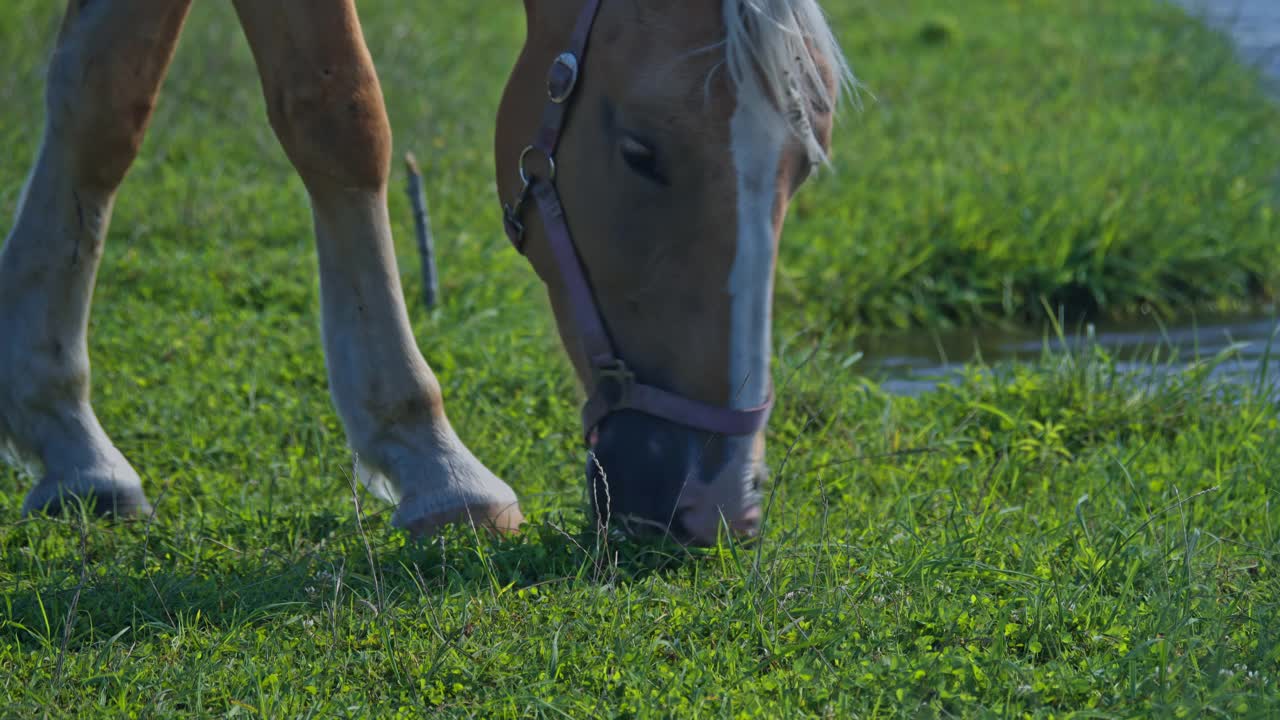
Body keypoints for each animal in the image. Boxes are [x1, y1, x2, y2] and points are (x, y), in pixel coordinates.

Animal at [5, 1, 855, 543]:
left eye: (803, 167)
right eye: (640, 151)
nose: (720, 503)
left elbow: (105, 89)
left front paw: (63, 432)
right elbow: (338, 113)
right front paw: (432, 459)